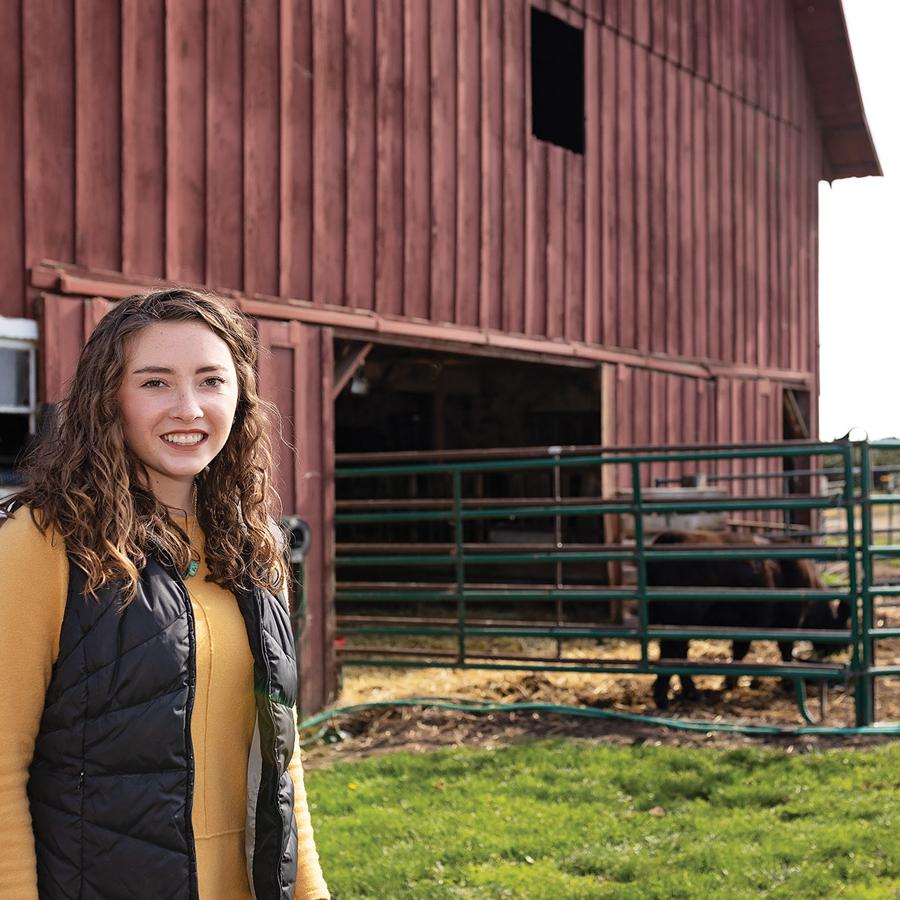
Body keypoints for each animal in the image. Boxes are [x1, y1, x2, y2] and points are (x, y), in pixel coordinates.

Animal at [648, 528, 844, 712]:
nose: (840, 649)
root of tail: (670, 537)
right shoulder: (786, 622)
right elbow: (784, 652)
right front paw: (787, 681)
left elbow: (738, 652)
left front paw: (730, 681)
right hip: (681, 619)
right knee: (671, 652)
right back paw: (669, 697)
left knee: (677, 653)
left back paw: (683, 693)